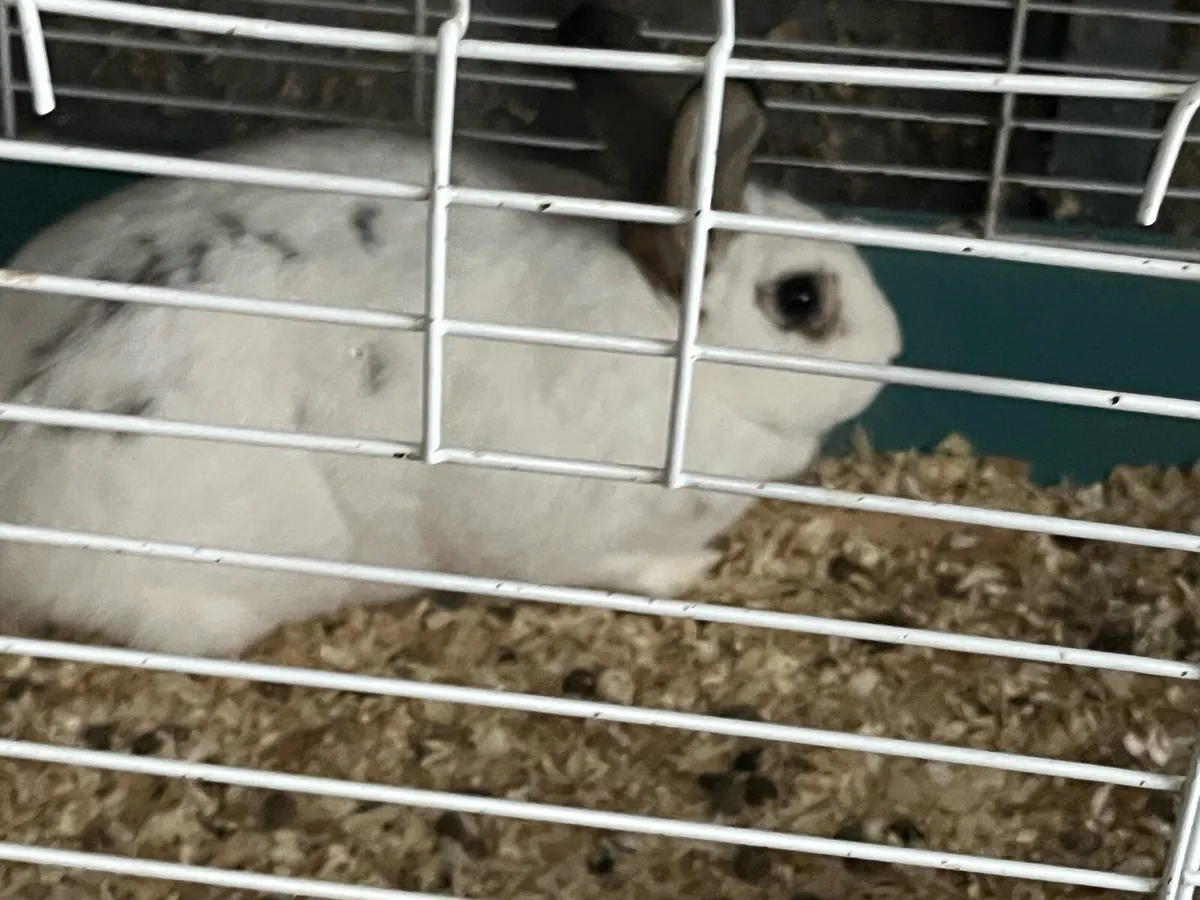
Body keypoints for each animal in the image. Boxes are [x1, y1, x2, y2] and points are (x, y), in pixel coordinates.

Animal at [0, 2, 902, 658]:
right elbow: (620, 564)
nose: (893, 352)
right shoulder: (572, 534)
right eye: (799, 301)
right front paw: (693, 569)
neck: (671, 348)